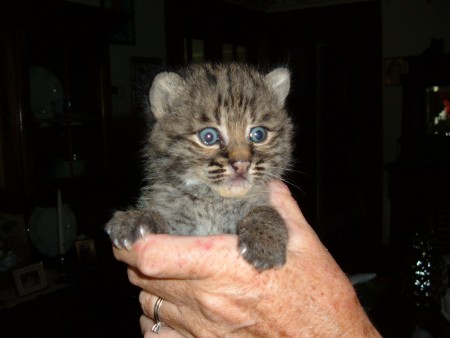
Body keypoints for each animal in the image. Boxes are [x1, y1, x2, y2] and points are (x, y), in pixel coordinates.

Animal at [107, 62, 294, 270]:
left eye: (258, 134)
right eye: (209, 136)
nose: (242, 165)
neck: (212, 202)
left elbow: (265, 210)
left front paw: (265, 242)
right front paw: (137, 217)